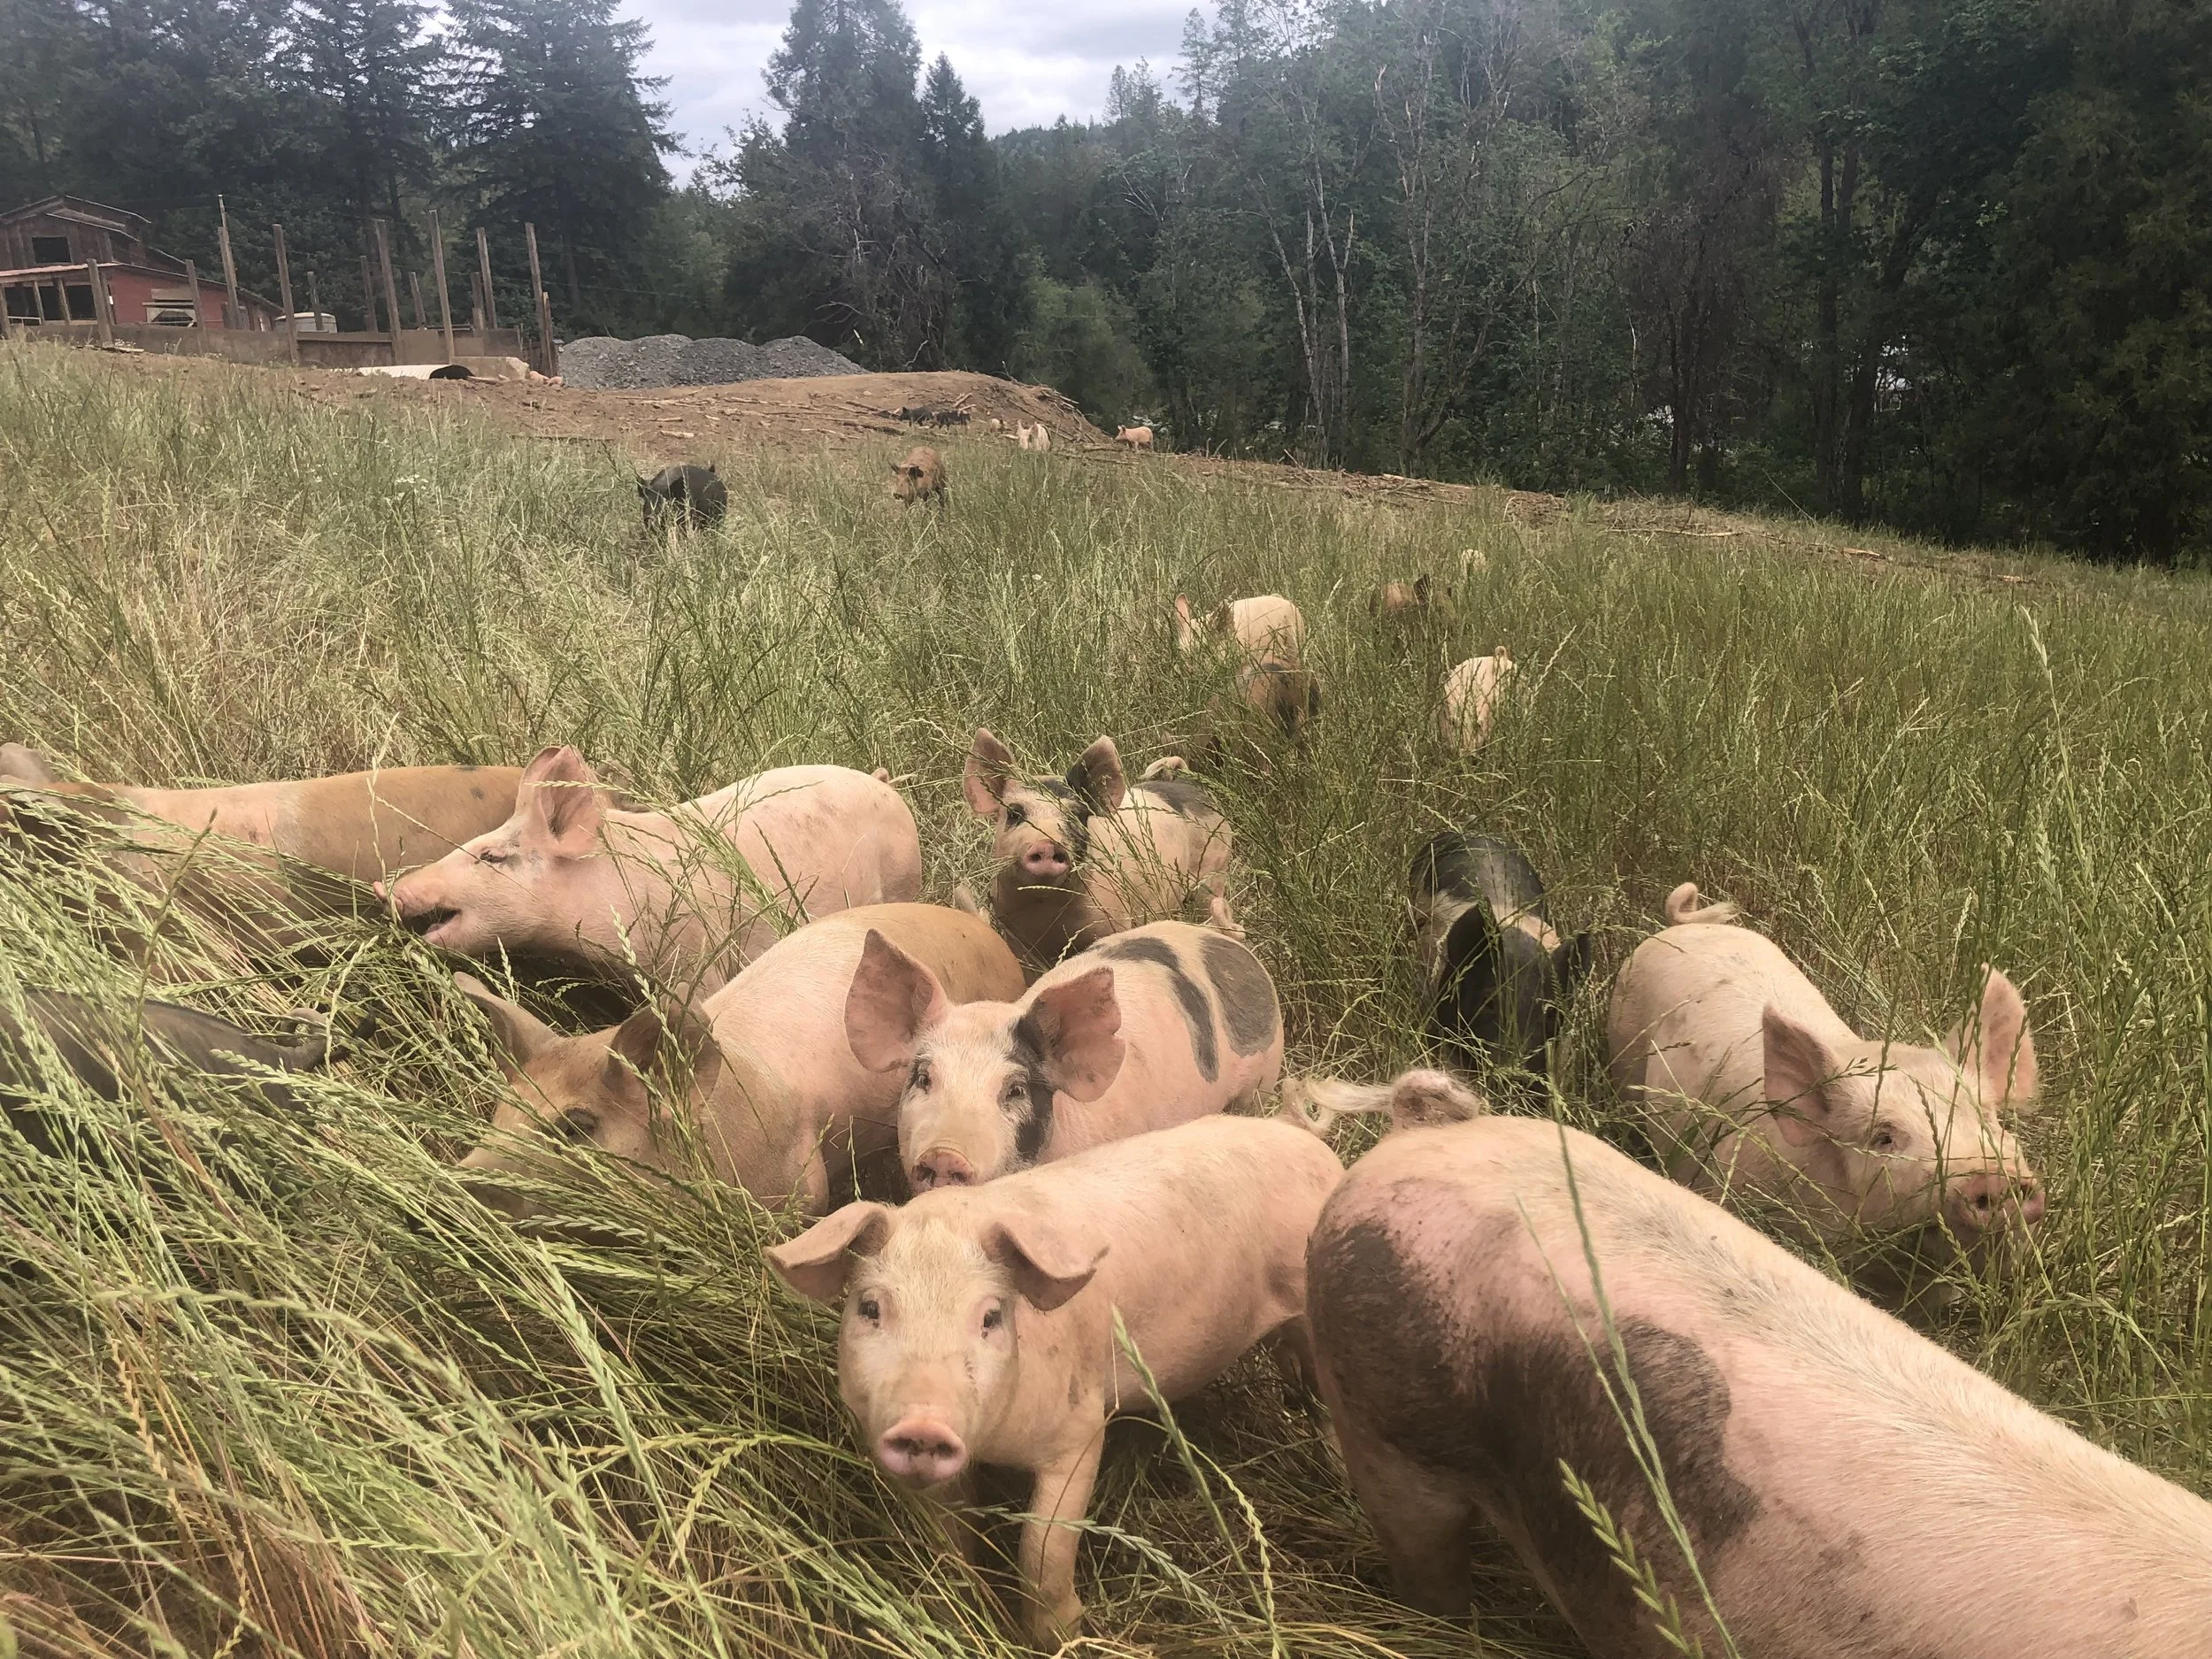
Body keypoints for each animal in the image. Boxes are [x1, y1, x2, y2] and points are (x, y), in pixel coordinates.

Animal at [764, 1113, 1343, 1645]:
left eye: (991, 1317)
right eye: (870, 1308)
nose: (925, 1426)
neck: (991, 1444)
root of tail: (1316, 1148)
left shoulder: (1079, 1430)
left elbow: (1042, 1549)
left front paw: (1063, 1636)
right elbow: (947, 1546)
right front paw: (963, 1611)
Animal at [962, 727, 1235, 971]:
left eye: (1078, 815)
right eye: (1014, 813)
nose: (1048, 844)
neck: (1048, 914)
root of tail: (1190, 785)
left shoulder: (1113, 919)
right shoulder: (1014, 933)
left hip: (1214, 868)